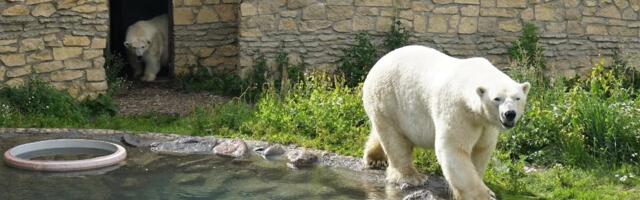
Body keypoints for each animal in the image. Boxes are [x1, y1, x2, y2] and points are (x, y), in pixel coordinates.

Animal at [362, 45, 528, 200]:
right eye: (497, 98)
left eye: (517, 98)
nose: (509, 114)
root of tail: (379, 62)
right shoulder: (457, 109)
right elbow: (454, 149)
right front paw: (483, 195)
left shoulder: (485, 124)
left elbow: (482, 149)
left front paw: (488, 190)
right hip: (388, 99)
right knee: (395, 139)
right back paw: (413, 177)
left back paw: (375, 159)